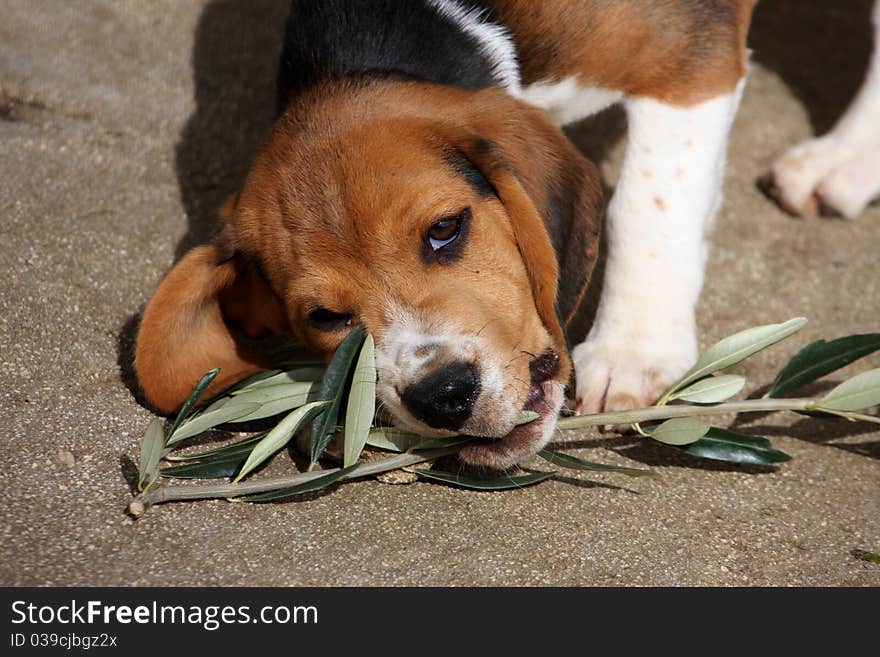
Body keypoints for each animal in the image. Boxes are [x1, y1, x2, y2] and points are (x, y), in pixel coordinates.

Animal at [134, 2, 752, 468]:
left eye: (445, 229)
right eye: (324, 317)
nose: (443, 396)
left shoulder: (689, 59)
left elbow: (650, 204)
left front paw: (633, 350)